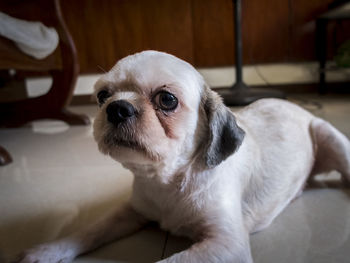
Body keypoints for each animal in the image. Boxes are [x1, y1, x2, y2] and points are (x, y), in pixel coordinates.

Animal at [15, 50, 350, 262]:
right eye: (102, 96)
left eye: (167, 100)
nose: (117, 108)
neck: (167, 181)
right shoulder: (130, 212)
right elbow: (89, 231)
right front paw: (46, 251)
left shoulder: (225, 244)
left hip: (330, 138)